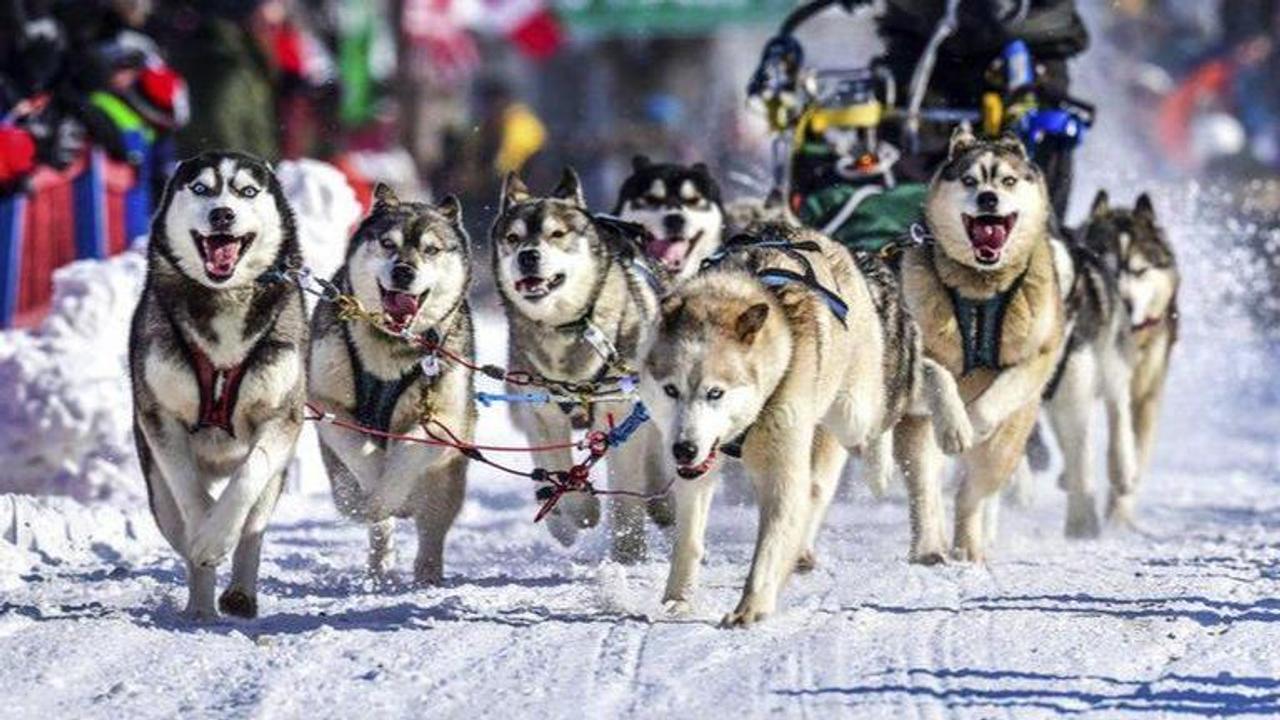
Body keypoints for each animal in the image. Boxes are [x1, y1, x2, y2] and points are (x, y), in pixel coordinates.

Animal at [129, 149, 307, 617]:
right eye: (201, 188)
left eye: (247, 191)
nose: (222, 214)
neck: (224, 296)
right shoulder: (161, 417)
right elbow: (190, 493)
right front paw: (205, 533)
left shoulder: (281, 417)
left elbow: (248, 478)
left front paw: (217, 534)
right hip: (156, 489)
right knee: (178, 524)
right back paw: (200, 607)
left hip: (276, 480)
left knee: (253, 526)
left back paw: (239, 591)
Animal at [309, 184, 476, 584]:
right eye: (387, 243)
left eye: (431, 249)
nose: (403, 271)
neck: (390, 345)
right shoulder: (325, 402)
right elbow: (359, 449)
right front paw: (374, 490)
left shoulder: (441, 419)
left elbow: (406, 455)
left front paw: (391, 493)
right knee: (369, 518)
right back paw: (379, 563)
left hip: (448, 479)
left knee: (432, 527)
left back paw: (427, 573)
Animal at [488, 169, 670, 561]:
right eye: (513, 238)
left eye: (557, 234)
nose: (528, 256)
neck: (566, 328)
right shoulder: (541, 412)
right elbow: (559, 472)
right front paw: (579, 509)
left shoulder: (617, 411)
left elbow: (626, 493)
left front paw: (629, 553)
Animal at [640, 221, 967, 625]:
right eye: (671, 389)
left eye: (715, 393)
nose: (683, 449)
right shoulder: (698, 470)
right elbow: (688, 539)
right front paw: (678, 600)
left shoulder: (779, 469)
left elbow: (769, 544)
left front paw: (750, 607)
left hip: (855, 410)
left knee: (918, 381)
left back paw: (950, 423)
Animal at [901, 128, 1070, 563]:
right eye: (969, 180)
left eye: (1007, 181)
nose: (988, 199)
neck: (979, 290)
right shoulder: (916, 352)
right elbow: (938, 373)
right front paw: (957, 422)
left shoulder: (1036, 359)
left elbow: (999, 395)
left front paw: (974, 420)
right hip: (919, 436)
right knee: (926, 488)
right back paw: (930, 546)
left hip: (1007, 446)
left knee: (972, 494)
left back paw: (968, 545)